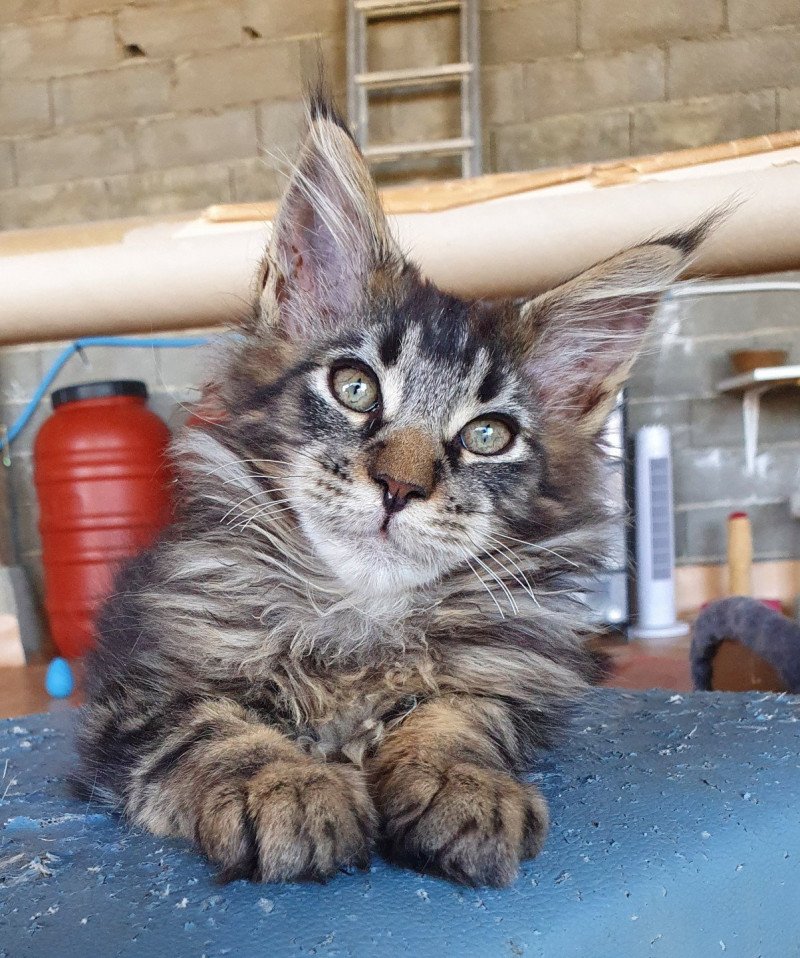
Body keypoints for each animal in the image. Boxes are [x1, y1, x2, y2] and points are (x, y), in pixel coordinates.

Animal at [75, 99, 708, 892]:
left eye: (488, 435)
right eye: (355, 388)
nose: (400, 485)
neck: (357, 620)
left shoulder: (504, 682)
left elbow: (458, 718)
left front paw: (461, 783)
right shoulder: (136, 696)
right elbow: (211, 728)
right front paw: (286, 785)